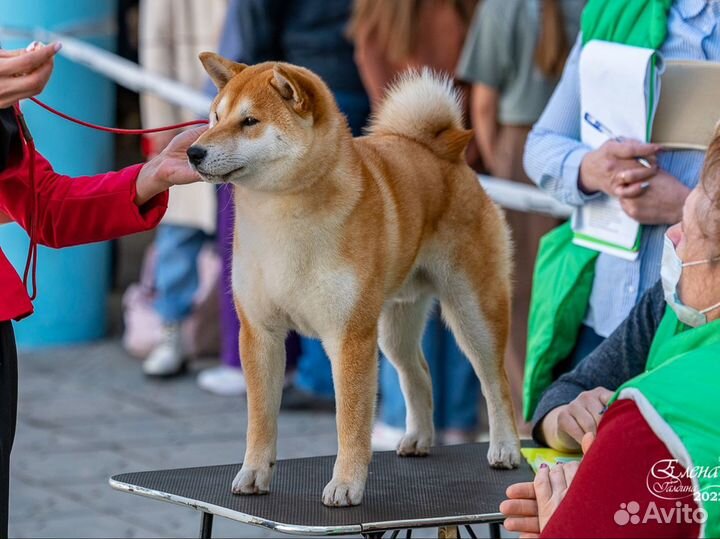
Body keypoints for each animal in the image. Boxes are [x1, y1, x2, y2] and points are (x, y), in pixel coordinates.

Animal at [188, 52, 520, 508]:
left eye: (249, 121)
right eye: (215, 117)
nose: (193, 151)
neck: (280, 215)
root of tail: (441, 150)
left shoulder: (348, 338)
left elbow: (350, 421)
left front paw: (346, 484)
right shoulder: (260, 332)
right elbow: (260, 418)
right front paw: (254, 474)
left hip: (472, 311)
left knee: (495, 381)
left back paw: (505, 447)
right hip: (394, 326)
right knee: (418, 372)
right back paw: (417, 438)